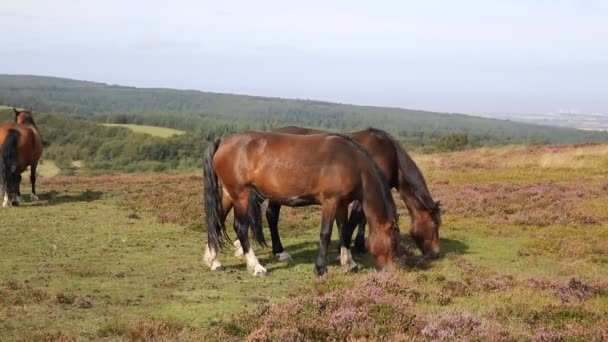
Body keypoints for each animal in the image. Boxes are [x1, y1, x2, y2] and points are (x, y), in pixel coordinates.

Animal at [203, 130, 400, 276]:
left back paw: (213, 260)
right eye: (393, 242)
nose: (392, 270)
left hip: (229, 194)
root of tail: (223, 141)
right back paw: (256, 267)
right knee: (241, 228)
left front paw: (349, 262)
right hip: (241, 194)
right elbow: (326, 233)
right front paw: (320, 268)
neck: (352, 163)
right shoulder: (330, 201)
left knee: (217, 221)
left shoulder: (342, 204)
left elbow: (344, 230)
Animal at [230, 127, 440, 264]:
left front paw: (357, 246)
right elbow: (355, 220)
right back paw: (276, 251)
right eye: (435, 225)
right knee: (270, 216)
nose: (436, 254)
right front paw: (346, 249)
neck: (387, 153)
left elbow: (359, 221)